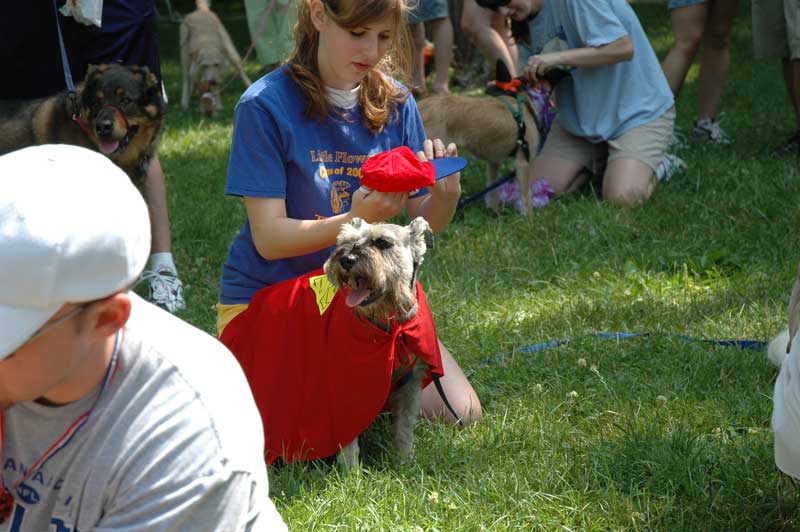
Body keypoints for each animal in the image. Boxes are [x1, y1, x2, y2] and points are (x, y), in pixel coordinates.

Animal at [322, 215, 434, 466]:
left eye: (382, 242)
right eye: (345, 241)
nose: (346, 259)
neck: (390, 324)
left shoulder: (410, 385)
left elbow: (404, 428)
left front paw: (405, 461)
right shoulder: (347, 388)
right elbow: (348, 437)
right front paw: (351, 472)